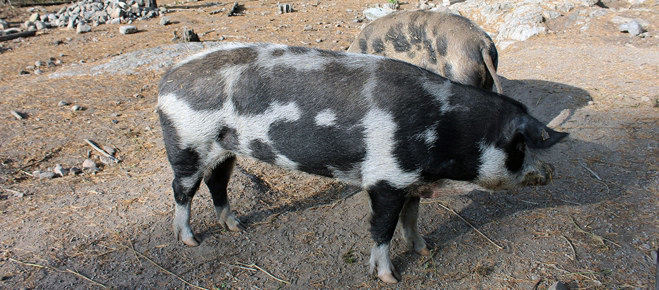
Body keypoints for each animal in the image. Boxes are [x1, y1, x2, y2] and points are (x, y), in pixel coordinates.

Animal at [159, 42, 568, 284]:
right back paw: (190, 240)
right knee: (181, 189)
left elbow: (411, 219)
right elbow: (382, 228)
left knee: (218, 183)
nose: (548, 172)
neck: (447, 133)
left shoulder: (411, 181)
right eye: (520, 147)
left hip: (224, 149)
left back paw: (236, 227)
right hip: (186, 143)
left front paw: (423, 249)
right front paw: (390, 277)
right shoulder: (385, 179)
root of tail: (166, 80)